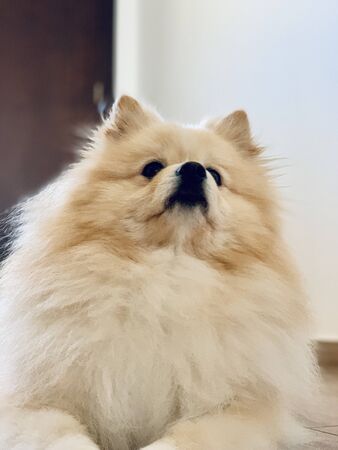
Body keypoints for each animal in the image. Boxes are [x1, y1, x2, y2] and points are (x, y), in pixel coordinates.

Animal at [0, 96, 316, 450]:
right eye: (151, 168)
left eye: (215, 174)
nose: (193, 168)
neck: (168, 272)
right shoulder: (30, 403)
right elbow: (66, 437)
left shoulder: (239, 413)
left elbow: (183, 438)